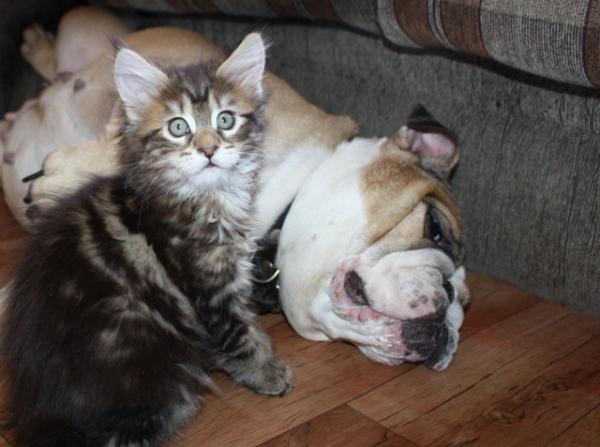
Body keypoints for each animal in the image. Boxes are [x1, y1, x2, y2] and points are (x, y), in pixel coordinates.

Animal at [1, 32, 292, 447]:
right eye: (178, 127)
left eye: (225, 120)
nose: (209, 149)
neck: (206, 198)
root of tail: (43, 412)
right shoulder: (205, 286)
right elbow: (234, 333)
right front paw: (265, 369)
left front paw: (263, 348)